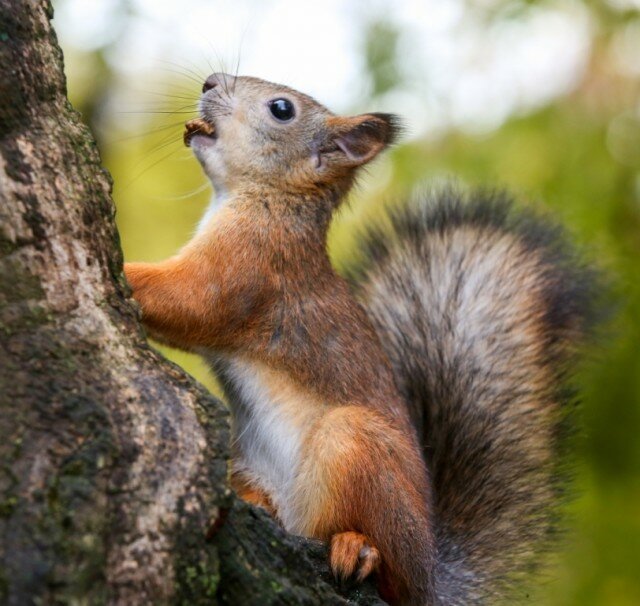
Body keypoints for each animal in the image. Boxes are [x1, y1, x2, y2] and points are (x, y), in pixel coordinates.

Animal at [122, 73, 596, 604]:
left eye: (281, 109)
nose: (209, 81)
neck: (275, 201)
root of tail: (430, 573)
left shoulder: (251, 266)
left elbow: (190, 301)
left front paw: (124, 271)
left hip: (354, 446)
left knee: (386, 570)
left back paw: (358, 549)